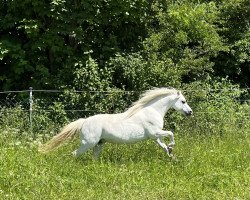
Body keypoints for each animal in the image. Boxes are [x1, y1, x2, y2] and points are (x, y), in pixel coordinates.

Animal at [38, 87, 193, 158]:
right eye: (183, 101)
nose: (190, 112)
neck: (152, 111)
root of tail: (84, 122)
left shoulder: (155, 136)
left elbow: (163, 146)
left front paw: (171, 154)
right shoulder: (155, 132)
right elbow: (171, 133)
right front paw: (172, 147)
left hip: (99, 144)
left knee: (93, 158)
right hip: (88, 143)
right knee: (74, 154)